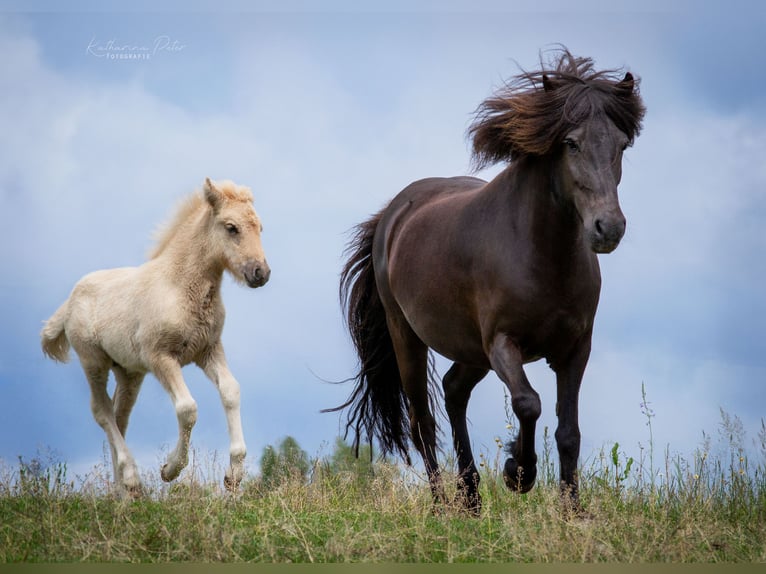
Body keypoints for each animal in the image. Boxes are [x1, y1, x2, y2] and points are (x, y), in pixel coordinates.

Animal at [42, 179, 272, 496]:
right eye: (231, 227)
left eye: (260, 227)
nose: (260, 273)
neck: (178, 286)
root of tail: (69, 301)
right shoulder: (160, 357)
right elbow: (187, 408)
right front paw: (170, 469)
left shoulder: (209, 350)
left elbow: (231, 391)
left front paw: (233, 476)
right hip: (93, 362)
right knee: (102, 412)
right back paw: (131, 479)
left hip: (129, 373)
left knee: (120, 416)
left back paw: (123, 495)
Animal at [332, 51, 644, 516]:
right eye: (571, 143)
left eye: (621, 145)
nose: (608, 229)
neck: (541, 256)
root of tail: (394, 213)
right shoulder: (503, 343)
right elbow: (529, 404)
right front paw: (519, 472)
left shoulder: (575, 349)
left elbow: (568, 431)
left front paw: (572, 512)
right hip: (408, 335)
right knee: (422, 421)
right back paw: (443, 504)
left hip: (470, 349)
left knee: (453, 391)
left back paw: (472, 496)